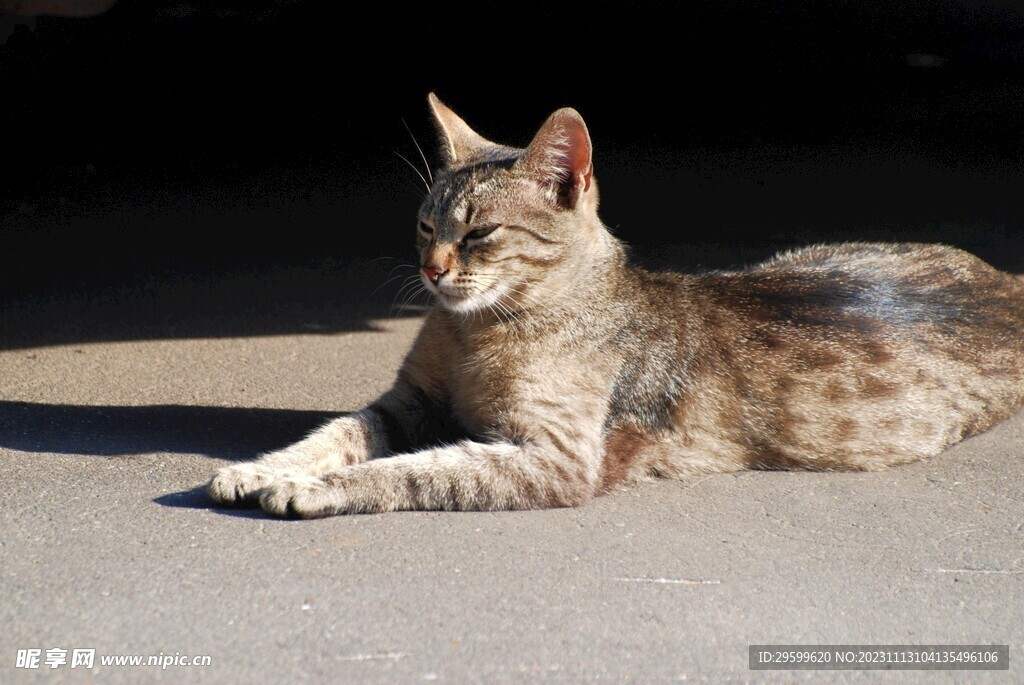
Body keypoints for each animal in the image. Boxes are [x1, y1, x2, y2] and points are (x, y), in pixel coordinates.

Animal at [205, 93, 1024, 516]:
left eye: (479, 232)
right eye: (425, 225)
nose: (431, 271)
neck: (475, 334)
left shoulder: (556, 457)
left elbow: (410, 471)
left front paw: (306, 487)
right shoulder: (409, 402)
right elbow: (334, 432)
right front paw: (264, 467)